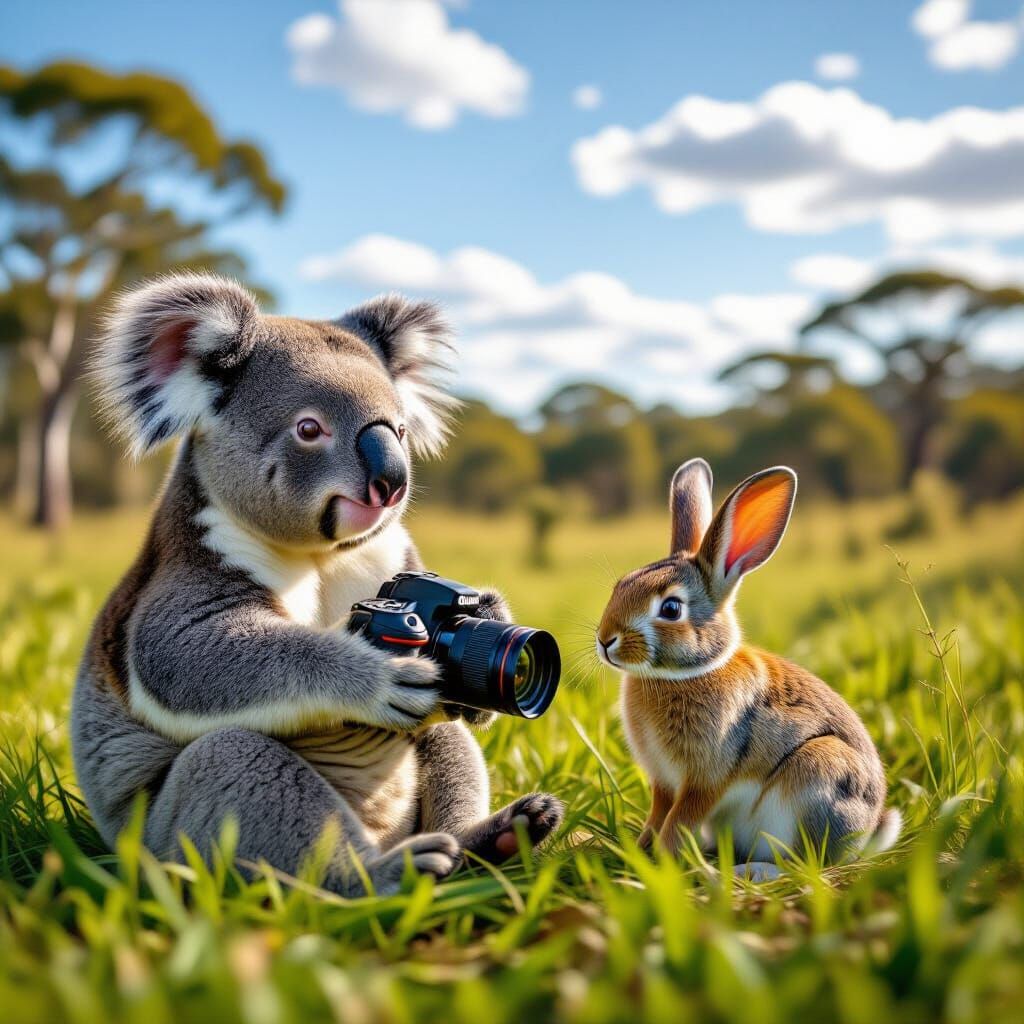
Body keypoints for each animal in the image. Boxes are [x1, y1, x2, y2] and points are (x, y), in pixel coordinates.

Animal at [596, 458, 901, 879]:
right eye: (620, 585)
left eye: (671, 609)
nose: (605, 640)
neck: (686, 673)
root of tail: (866, 833)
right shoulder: (664, 781)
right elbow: (659, 815)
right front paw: (640, 851)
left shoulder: (704, 780)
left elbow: (679, 822)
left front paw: (662, 863)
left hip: (818, 776)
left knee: (805, 863)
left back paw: (751, 872)